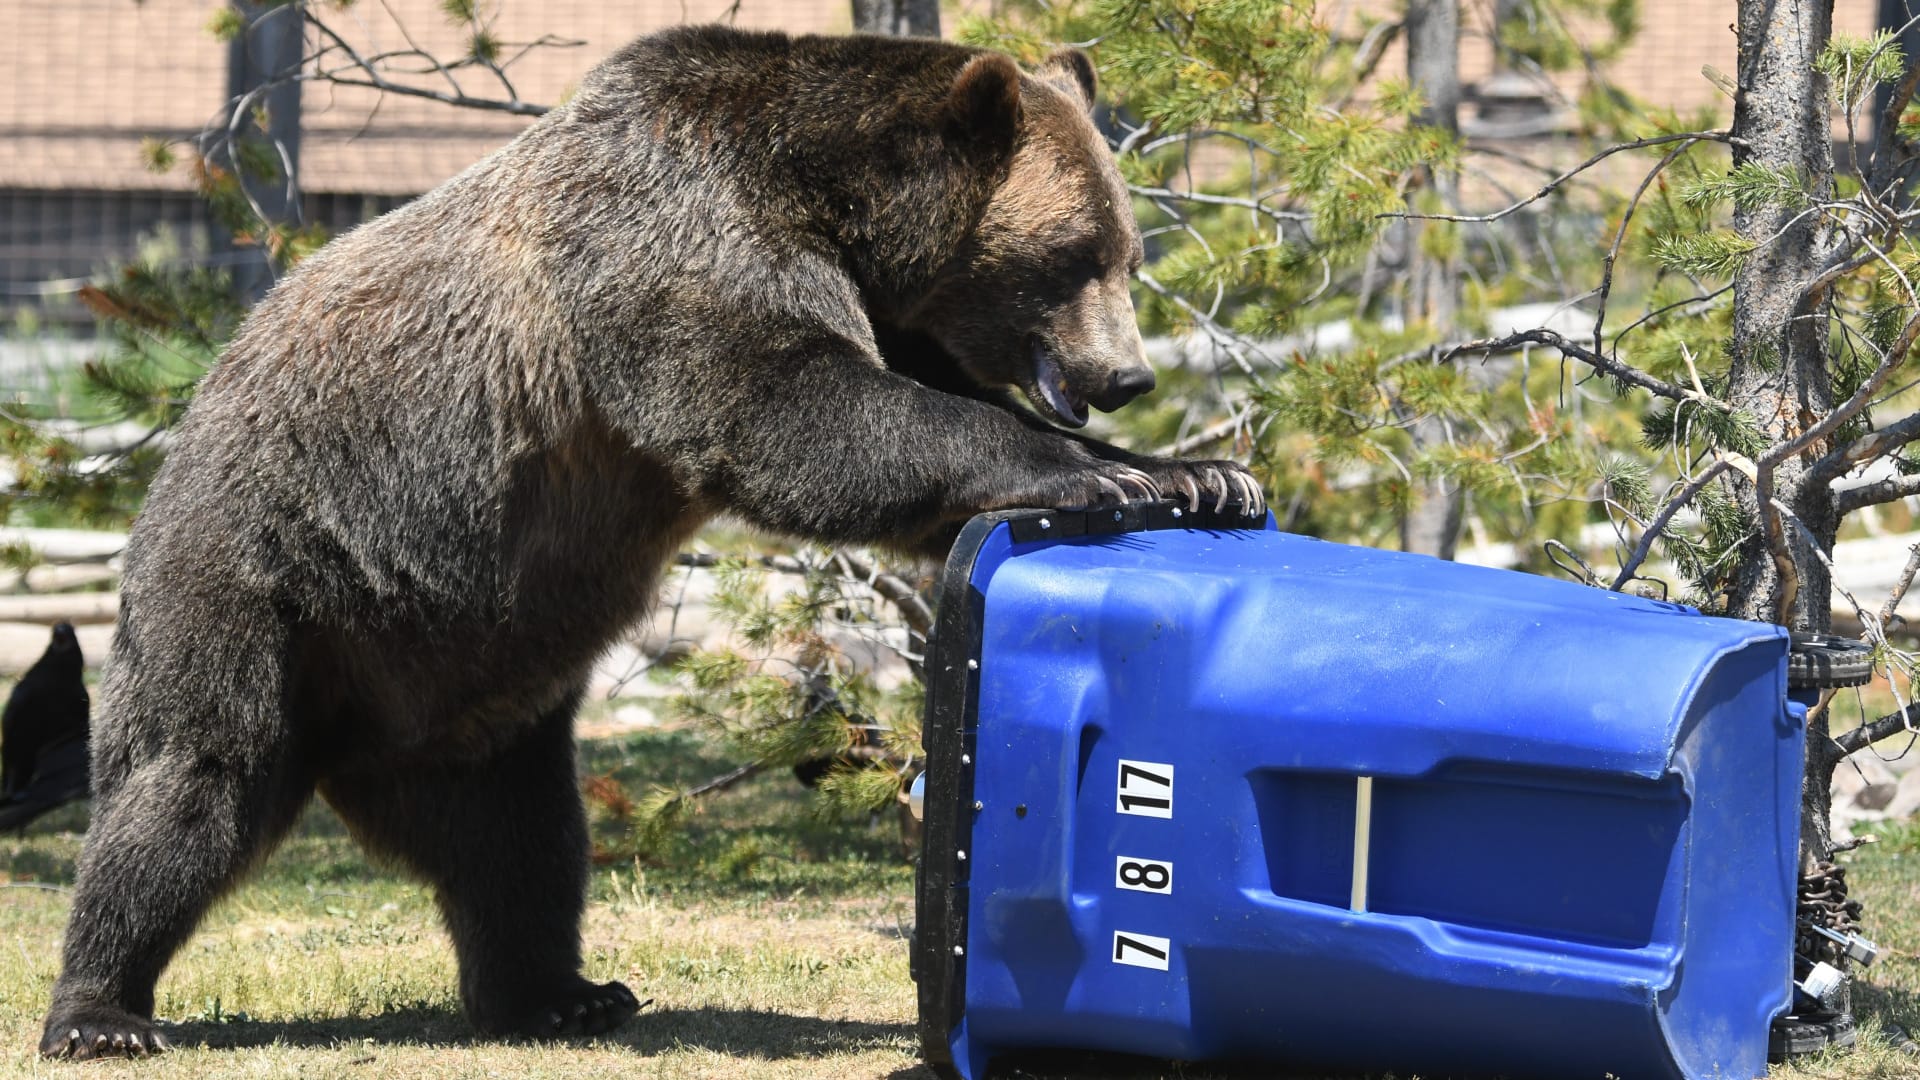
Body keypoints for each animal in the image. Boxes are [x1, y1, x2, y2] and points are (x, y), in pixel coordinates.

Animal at [38, 25, 1263, 1059]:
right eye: (1078, 253)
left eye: (1130, 252)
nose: (1128, 375)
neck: (833, 207)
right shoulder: (674, 246)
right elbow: (798, 413)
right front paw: (1094, 471)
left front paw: (1200, 472)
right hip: (265, 580)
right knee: (191, 780)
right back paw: (102, 1009)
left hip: (470, 685)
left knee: (522, 843)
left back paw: (558, 992)